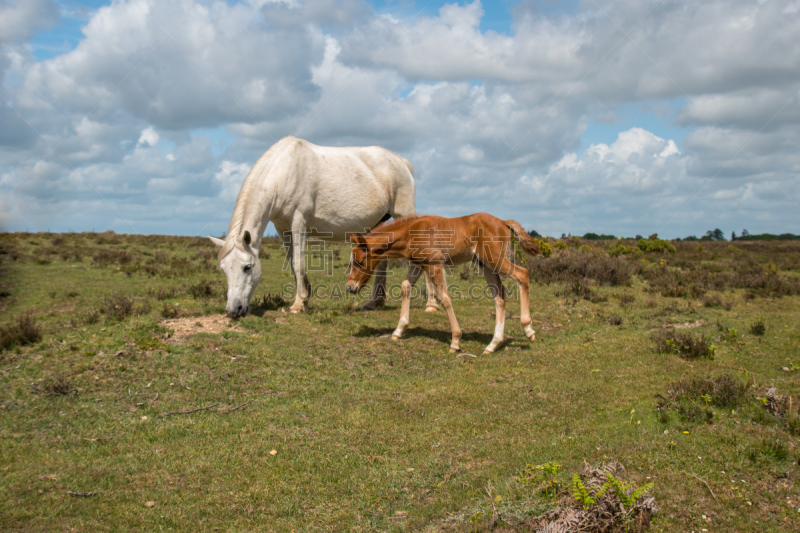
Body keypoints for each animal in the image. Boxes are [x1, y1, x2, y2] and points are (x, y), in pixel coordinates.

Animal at [209, 136, 438, 316]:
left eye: (247, 267)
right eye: (223, 269)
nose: (233, 311)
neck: (284, 173)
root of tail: (402, 162)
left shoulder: (298, 223)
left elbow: (299, 262)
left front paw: (298, 304)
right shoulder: (282, 228)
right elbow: (293, 263)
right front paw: (305, 299)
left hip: (404, 214)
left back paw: (431, 304)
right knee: (382, 260)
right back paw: (375, 302)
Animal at [346, 212, 544, 354]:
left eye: (360, 262)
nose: (350, 287)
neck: (412, 232)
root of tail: (503, 222)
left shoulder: (435, 264)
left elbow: (444, 297)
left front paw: (455, 341)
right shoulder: (418, 264)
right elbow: (405, 287)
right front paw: (398, 331)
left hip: (495, 260)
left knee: (522, 274)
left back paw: (528, 330)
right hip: (486, 265)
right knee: (500, 297)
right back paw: (493, 344)